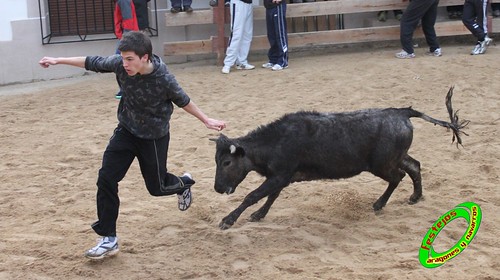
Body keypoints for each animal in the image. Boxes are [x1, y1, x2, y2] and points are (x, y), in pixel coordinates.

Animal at [211, 87, 468, 230]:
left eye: (226, 162)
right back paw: (415, 197)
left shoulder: (280, 175)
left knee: (399, 176)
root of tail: (401, 112)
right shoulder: (283, 177)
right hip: (396, 157)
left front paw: (228, 220)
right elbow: (271, 196)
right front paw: (258, 215)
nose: (218, 188)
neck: (276, 140)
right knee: (414, 167)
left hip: (382, 165)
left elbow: (253, 195)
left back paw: (379, 204)